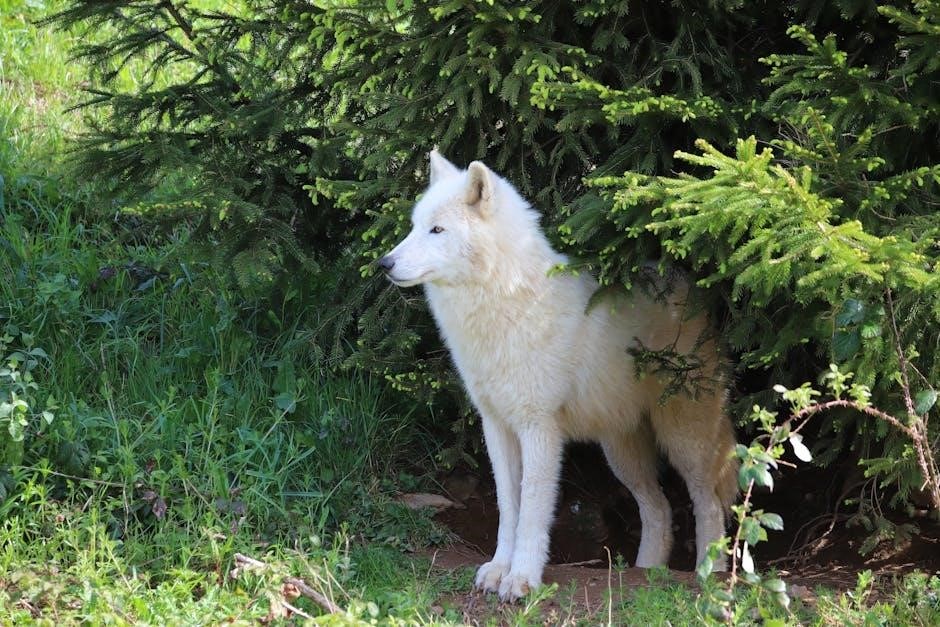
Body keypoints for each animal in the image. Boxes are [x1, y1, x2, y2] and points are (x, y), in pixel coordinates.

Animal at [379, 151, 738, 601]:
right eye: (414, 226)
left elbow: (533, 509)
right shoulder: (497, 427)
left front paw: (522, 579)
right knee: (659, 508)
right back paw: (645, 572)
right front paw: (498, 569)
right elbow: (508, 507)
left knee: (708, 504)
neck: (505, 304)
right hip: (621, 452)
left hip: (683, 437)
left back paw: (710, 573)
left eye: (437, 230)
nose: (384, 263)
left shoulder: (539, 429)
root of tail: (690, 284)